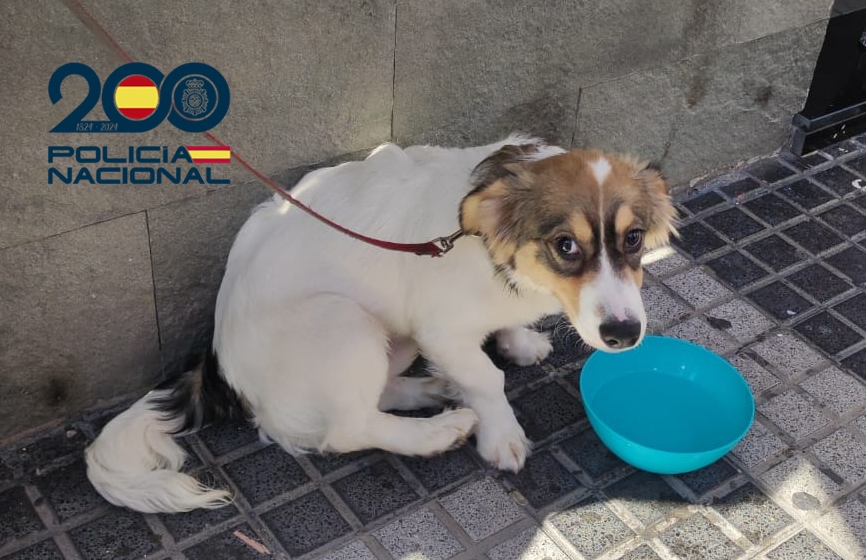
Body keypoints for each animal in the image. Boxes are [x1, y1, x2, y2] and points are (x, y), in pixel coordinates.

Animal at [86, 136, 676, 512]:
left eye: (633, 238)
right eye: (566, 246)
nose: (624, 335)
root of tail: (219, 366)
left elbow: (497, 341)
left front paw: (519, 342)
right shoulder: (442, 329)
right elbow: (488, 380)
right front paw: (503, 434)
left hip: (392, 337)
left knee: (375, 397)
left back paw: (434, 390)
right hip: (345, 322)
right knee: (345, 429)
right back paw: (438, 431)